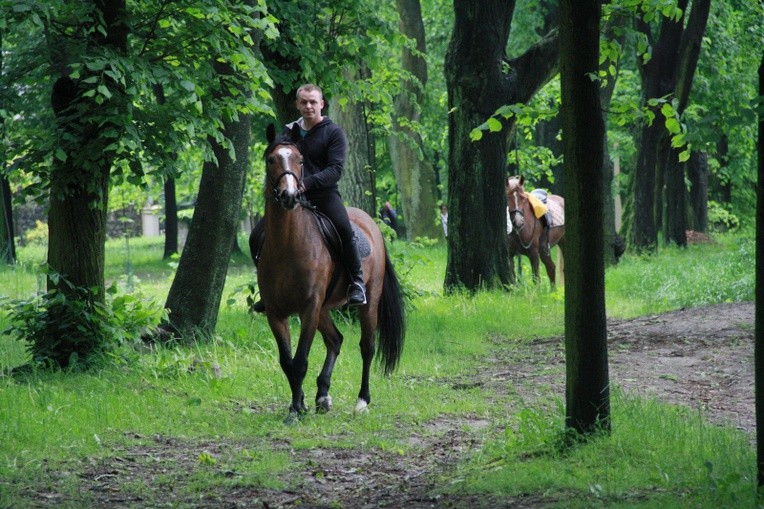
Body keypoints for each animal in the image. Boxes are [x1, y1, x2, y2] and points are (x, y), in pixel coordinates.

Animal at [251, 123, 406, 420]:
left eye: (299, 160)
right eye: (271, 159)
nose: (289, 196)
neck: (288, 245)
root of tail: (371, 223)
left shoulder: (309, 308)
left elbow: (300, 360)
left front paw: (295, 410)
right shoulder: (276, 313)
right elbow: (287, 362)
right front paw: (299, 404)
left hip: (367, 301)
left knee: (366, 346)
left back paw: (362, 400)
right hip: (324, 309)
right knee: (335, 340)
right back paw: (322, 395)